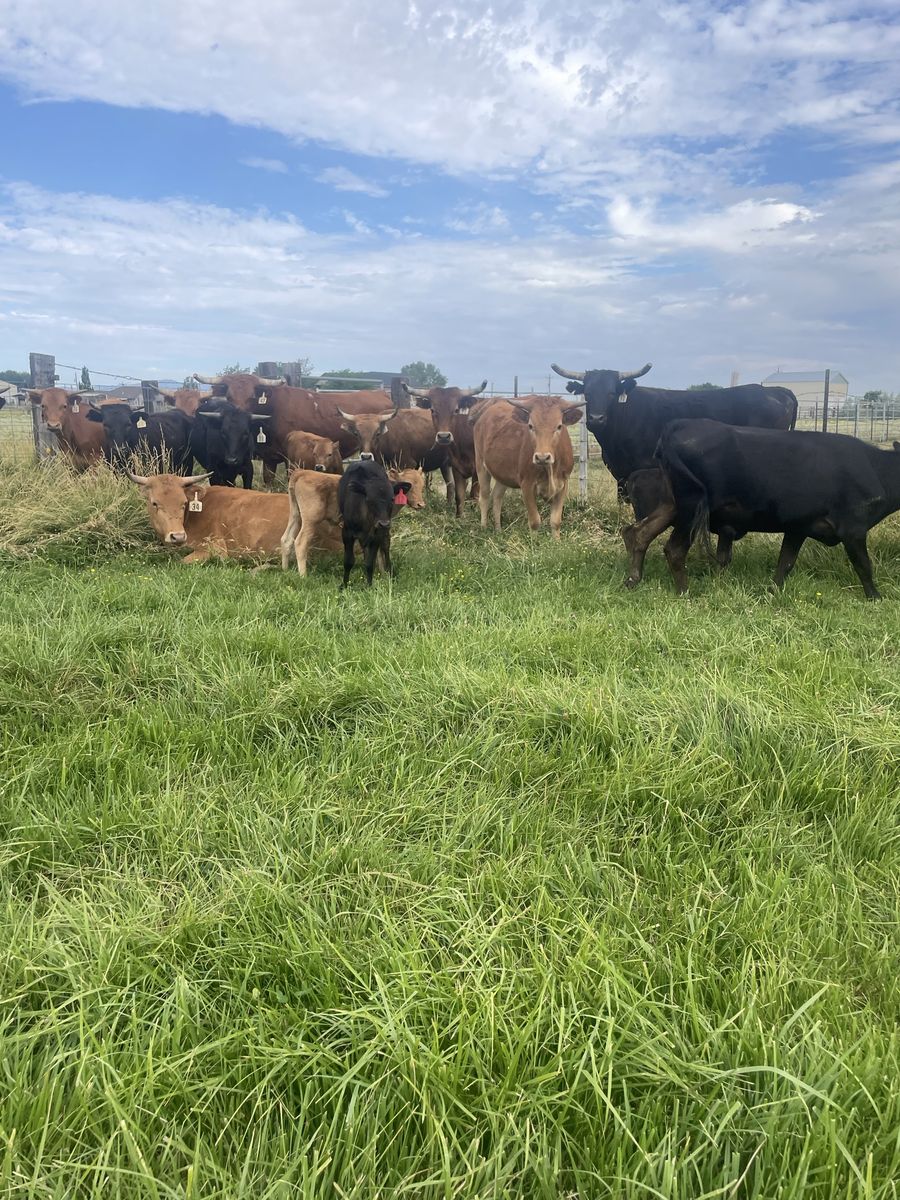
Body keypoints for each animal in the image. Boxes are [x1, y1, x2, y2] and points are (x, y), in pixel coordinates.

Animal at [281, 464, 422, 580]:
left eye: (422, 485)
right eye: (410, 486)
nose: (421, 504)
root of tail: (302, 472)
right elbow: (382, 546)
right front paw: (384, 573)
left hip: (295, 516)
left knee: (286, 539)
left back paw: (285, 570)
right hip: (310, 520)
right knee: (300, 542)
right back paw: (303, 576)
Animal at [402, 381, 489, 516]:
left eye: (456, 409)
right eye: (432, 410)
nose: (443, 436)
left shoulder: (478, 471)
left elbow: (474, 496)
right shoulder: (456, 468)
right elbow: (459, 496)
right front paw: (459, 517)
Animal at [472, 395, 585, 538]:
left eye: (559, 426)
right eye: (531, 426)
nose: (542, 457)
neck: (550, 470)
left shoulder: (563, 484)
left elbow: (556, 521)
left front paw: (557, 541)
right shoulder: (527, 485)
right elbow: (534, 521)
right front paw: (534, 542)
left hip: (502, 473)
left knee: (497, 496)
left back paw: (498, 530)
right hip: (480, 465)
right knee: (484, 496)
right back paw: (484, 528)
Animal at [550, 361, 799, 580]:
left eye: (612, 392)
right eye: (587, 393)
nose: (596, 418)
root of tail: (776, 390)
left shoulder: (642, 473)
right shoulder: (622, 477)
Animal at [652, 420, 900, 599]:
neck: (877, 469)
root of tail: (681, 423)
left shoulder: (798, 527)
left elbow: (785, 563)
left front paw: (773, 591)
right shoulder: (853, 528)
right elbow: (864, 566)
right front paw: (875, 598)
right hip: (691, 509)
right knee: (674, 550)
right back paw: (685, 593)